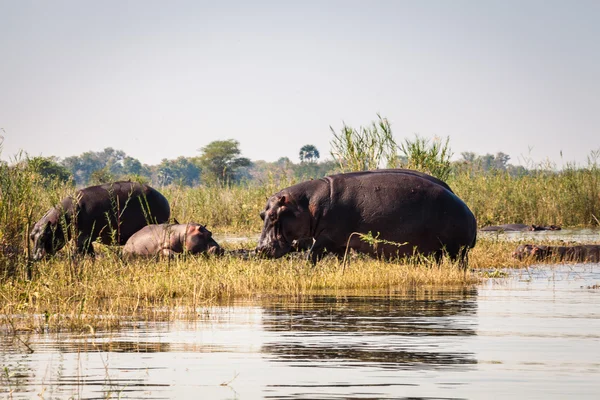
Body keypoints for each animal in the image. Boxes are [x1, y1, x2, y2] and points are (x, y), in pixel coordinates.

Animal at [31, 181, 171, 260]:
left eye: (44, 236)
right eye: (31, 236)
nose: (34, 257)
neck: (61, 218)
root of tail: (164, 198)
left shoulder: (82, 238)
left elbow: (78, 253)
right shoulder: (86, 239)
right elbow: (90, 253)